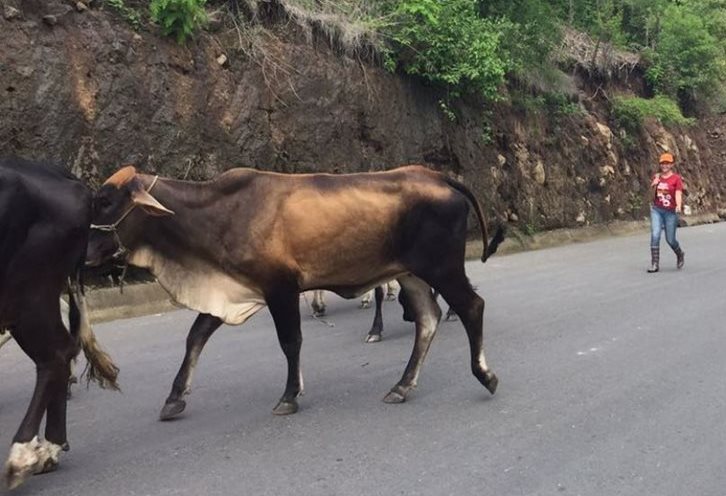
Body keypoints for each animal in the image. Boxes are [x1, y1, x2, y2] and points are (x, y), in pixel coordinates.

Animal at [86, 166, 506, 418]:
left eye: (106, 201)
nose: (85, 253)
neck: (218, 215)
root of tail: (437, 175)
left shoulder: (280, 288)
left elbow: (290, 342)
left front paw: (289, 395)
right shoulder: (232, 289)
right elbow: (195, 337)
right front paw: (174, 398)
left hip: (441, 268)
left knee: (472, 306)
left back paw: (485, 375)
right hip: (411, 275)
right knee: (427, 318)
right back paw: (401, 386)